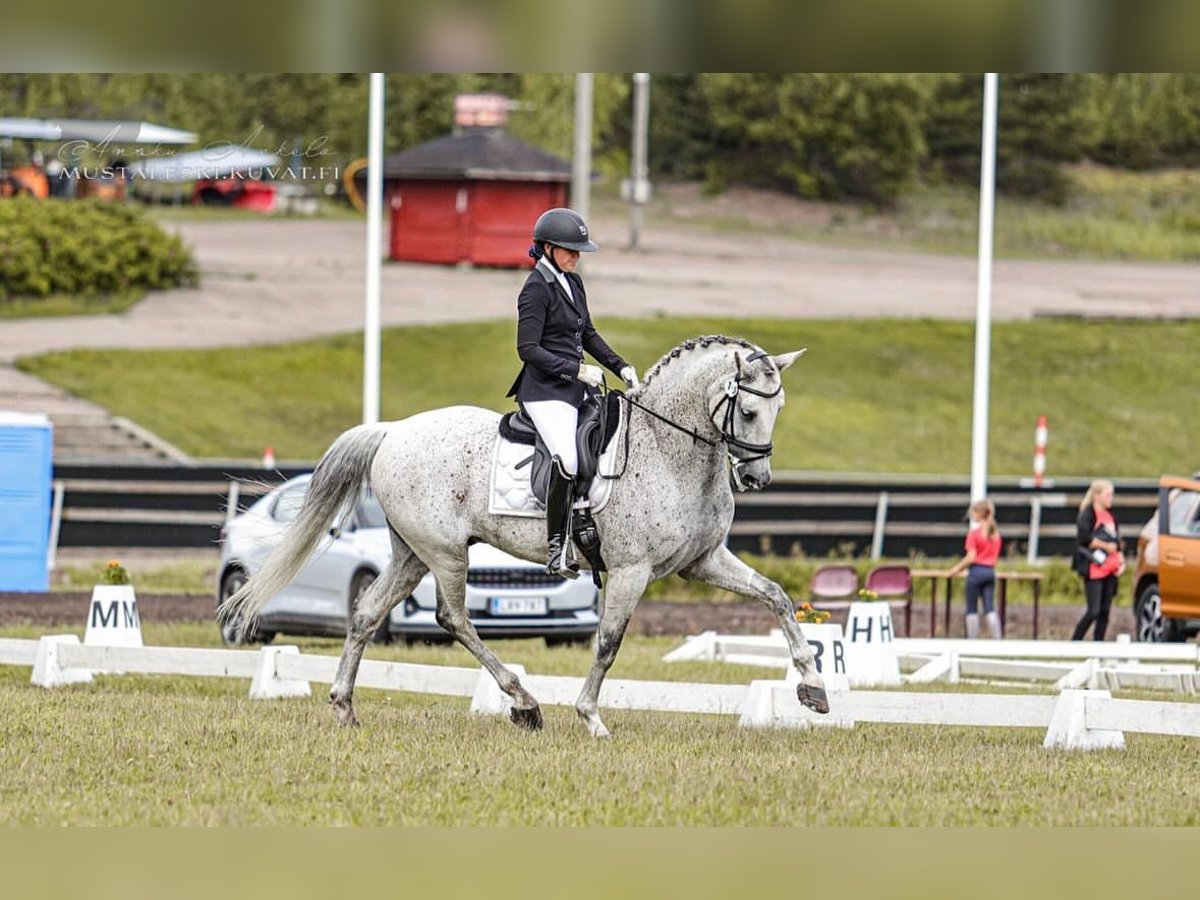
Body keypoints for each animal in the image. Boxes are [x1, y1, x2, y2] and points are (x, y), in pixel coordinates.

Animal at [223, 336, 825, 734]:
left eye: (779, 407)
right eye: (749, 411)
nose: (756, 478)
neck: (668, 450)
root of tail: (392, 432)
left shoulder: (703, 562)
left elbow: (777, 597)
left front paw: (812, 686)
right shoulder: (631, 572)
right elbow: (608, 642)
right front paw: (591, 718)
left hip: (411, 553)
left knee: (368, 611)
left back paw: (345, 705)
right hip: (444, 553)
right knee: (454, 618)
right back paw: (524, 702)